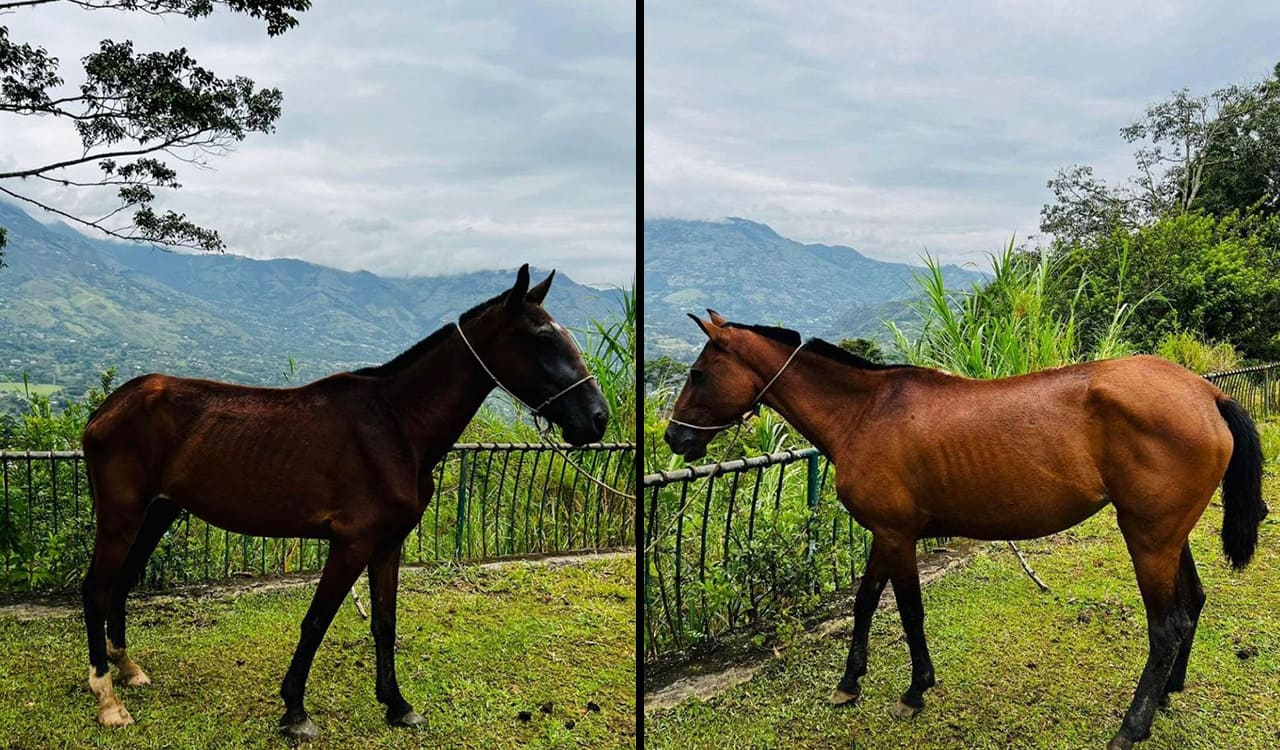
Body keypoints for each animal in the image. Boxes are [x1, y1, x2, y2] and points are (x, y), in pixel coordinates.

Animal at [80, 265, 609, 740]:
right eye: (542, 338)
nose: (598, 418)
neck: (397, 426)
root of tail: (112, 404)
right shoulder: (351, 544)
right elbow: (316, 622)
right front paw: (295, 711)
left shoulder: (388, 543)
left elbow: (384, 623)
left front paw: (397, 704)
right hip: (122, 516)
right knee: (97, 589)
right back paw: (108, 698)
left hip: (158, 512)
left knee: (121, 584)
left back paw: (128, 668)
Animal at [664, 310, 1266, 750]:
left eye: (698, 373)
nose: (673, 436)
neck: (865, 412)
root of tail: (1207, 394)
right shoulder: (887, 534)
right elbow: (865, 602)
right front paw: (849, 682)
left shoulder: (897, 535)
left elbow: (908, 611)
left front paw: (915, 688)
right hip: (1166, 535)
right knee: (1192, 604)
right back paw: (1166, 694)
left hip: (1148, 537)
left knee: (1167, 626)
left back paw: (1133, 724)